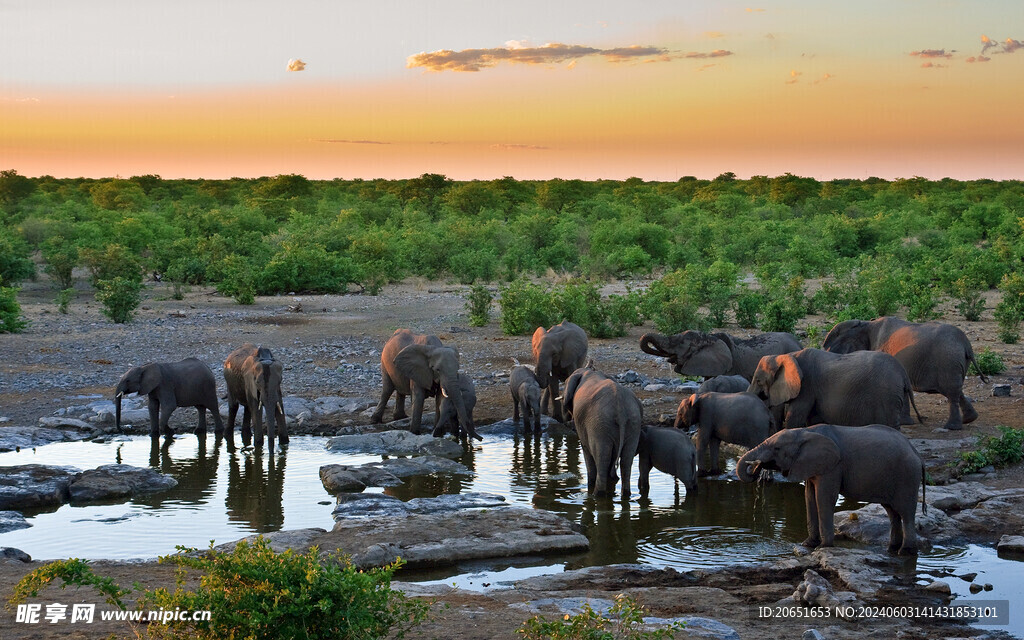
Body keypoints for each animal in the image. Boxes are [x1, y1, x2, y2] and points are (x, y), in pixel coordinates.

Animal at [561, 364, 638, 499]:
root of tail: (621, 410)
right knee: (626, 461)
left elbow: (586, 450)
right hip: (633, 423)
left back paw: (596, 495)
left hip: (599, 426)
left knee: (602, 459)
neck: (588, 371)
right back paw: (625, 495)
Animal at [737, 423, 929, 552]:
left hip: (907, 476)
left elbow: (824, 498)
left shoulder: (834, 466)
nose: (756, 468)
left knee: (906, 513)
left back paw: (905, 552)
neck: (804, 431)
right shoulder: (811, 465)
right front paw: (807, 544)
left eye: (777, 448)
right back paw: (892, 549)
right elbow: (809, 497)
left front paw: (823, 547)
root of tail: (917, 454)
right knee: (892, 513)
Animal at [745, 346, 921, 432]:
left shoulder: (807, 386)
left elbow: (795, 417)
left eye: (758, 381)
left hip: (887, 396)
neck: (788, 355)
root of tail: (903, 373)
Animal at [827, 315, 987, 430]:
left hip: (948, 360)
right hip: (955, 363)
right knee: (956, 390)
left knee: (952, 392)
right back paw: (969, 419)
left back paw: (952, 427)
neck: (867, 324)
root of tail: (966, 344)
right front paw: (906, 423)